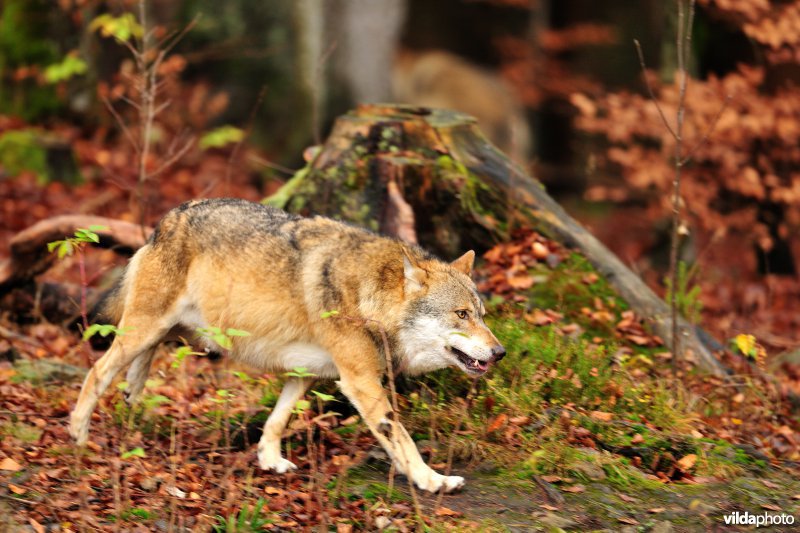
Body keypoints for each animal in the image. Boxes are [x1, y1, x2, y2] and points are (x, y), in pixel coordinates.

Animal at [69, 198, 505, 493]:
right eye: (462, 314)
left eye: (482, 315)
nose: (500, 352)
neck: (369, 300)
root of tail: (166, 220)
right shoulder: (361, 382)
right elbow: (401, 437)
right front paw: (432, 480)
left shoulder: (306, 372)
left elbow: (277, 421)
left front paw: (270, 461)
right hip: (152, 329)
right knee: (97, 372)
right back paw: (78, 435)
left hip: (184, 332)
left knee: (140, 359)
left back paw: (132, 395)